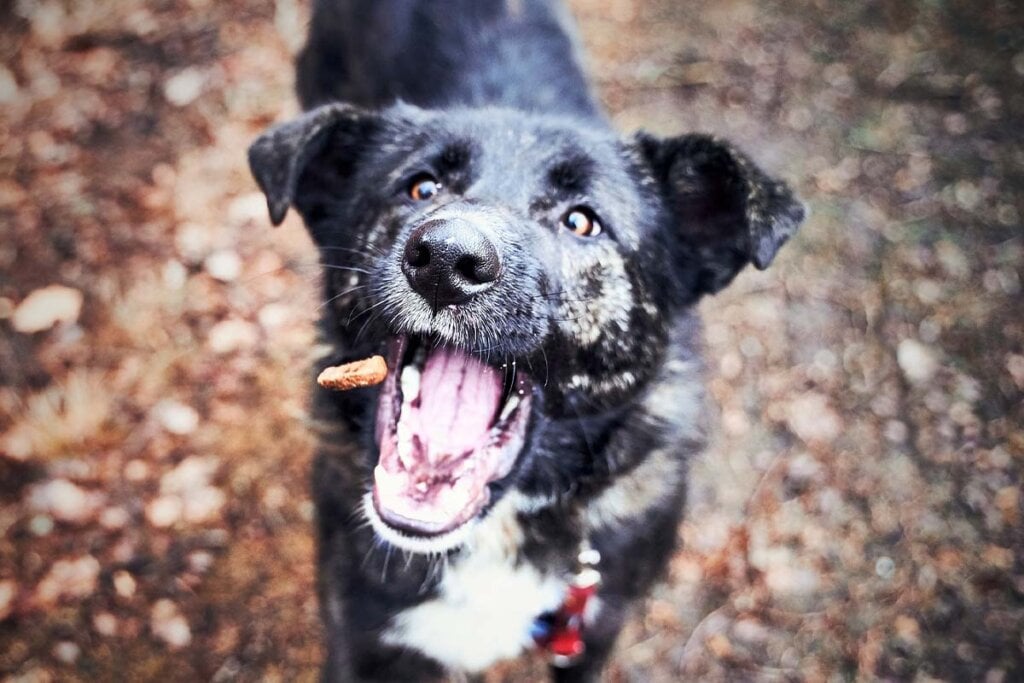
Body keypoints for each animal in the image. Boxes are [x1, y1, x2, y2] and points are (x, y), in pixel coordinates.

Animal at [245, 2, 798, 679]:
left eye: (582, 221)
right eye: (421, 188)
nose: (446, 259)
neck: (493, 530)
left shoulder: (593, 629)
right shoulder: (361, 639)